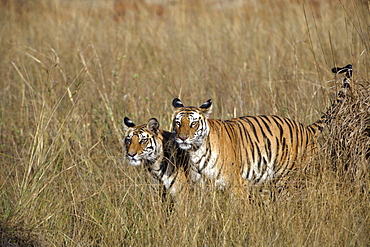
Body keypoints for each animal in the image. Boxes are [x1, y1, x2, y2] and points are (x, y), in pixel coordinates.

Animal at [171, 64, 352, 190]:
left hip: (292, 178)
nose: (182, 138)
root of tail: (306, 128)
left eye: (193, 123)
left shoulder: (237, 184)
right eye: (178, 123)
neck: (196, 152)